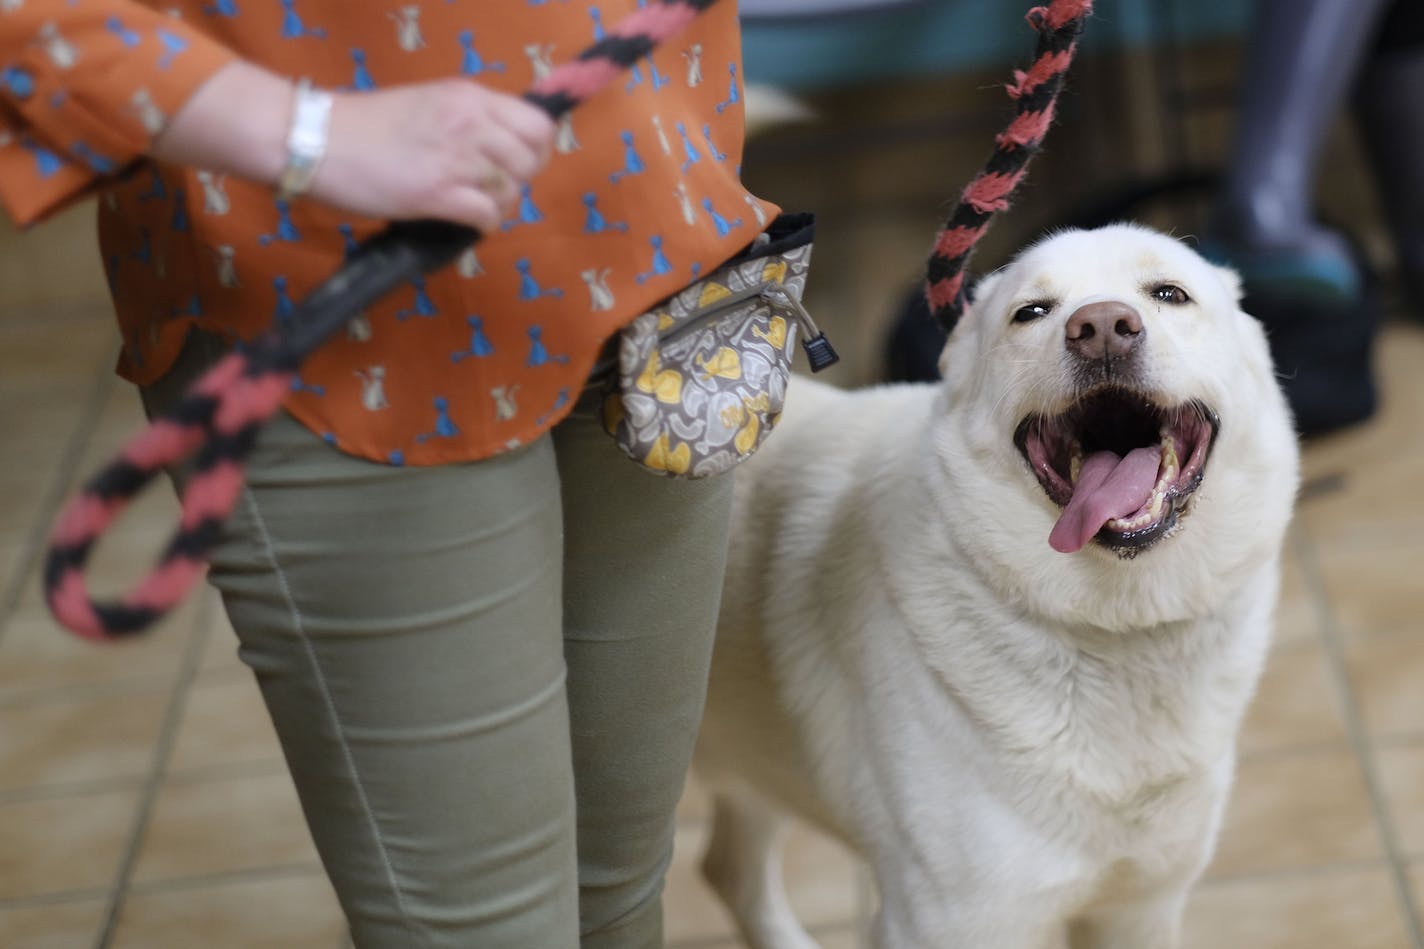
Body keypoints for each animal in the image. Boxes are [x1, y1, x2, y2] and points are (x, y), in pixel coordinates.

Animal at [697, 223, 1304, 946]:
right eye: (1031, 312)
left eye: (1168, 294)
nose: (1103, 327)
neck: (1113, 633)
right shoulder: (948, 922)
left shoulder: (1141, 908)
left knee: (726, 870)